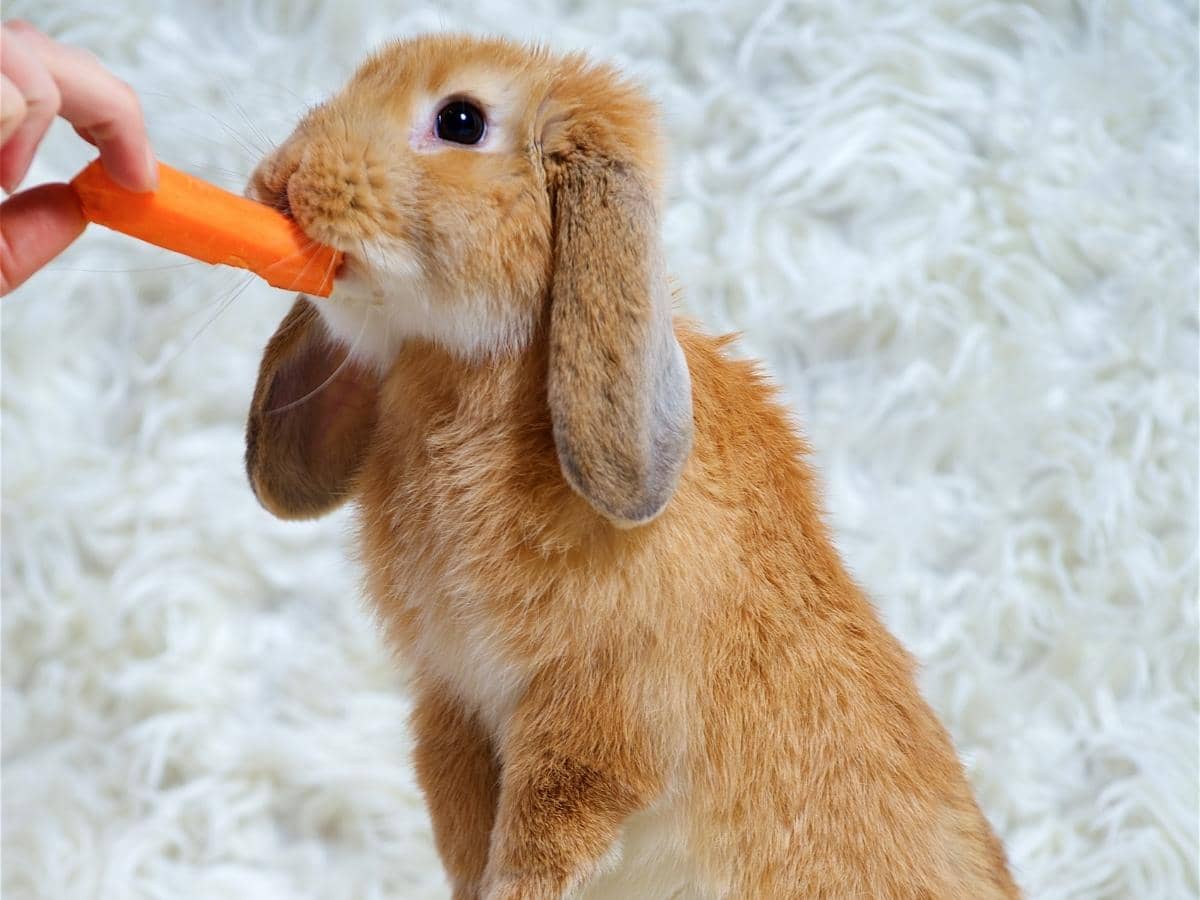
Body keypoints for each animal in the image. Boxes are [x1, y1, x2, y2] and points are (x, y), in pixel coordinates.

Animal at [243, 34, 1021, 900]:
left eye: (461, 120)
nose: (279, 179)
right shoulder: (453, 703)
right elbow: (465, 822)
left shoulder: (597, 718)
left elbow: (546, 830)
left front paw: (511, 894)